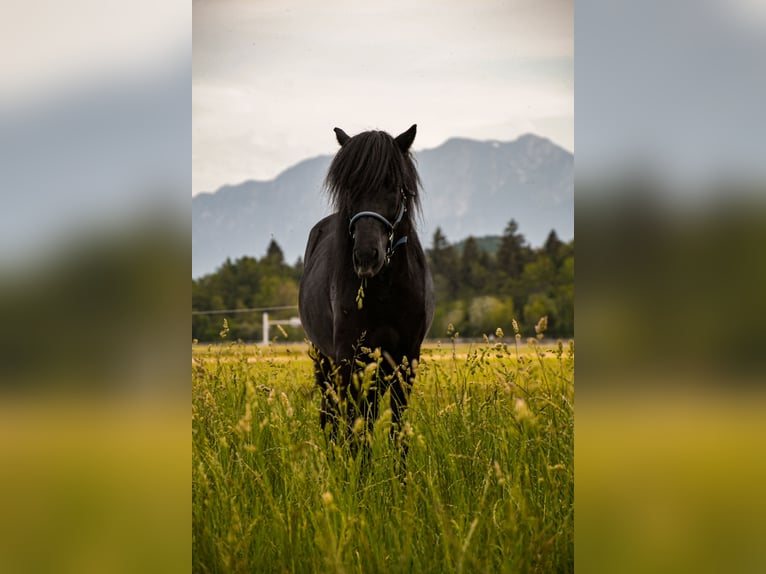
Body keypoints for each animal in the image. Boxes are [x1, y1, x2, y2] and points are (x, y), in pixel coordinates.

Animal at [298, 124, 434, 461]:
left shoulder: (406, 360)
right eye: (349, 188)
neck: (385, 290)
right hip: (325, 360)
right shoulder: (350, 359)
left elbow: (397, 430)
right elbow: (355, 430)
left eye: (394, 186)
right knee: (333, 415)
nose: (366, 256)